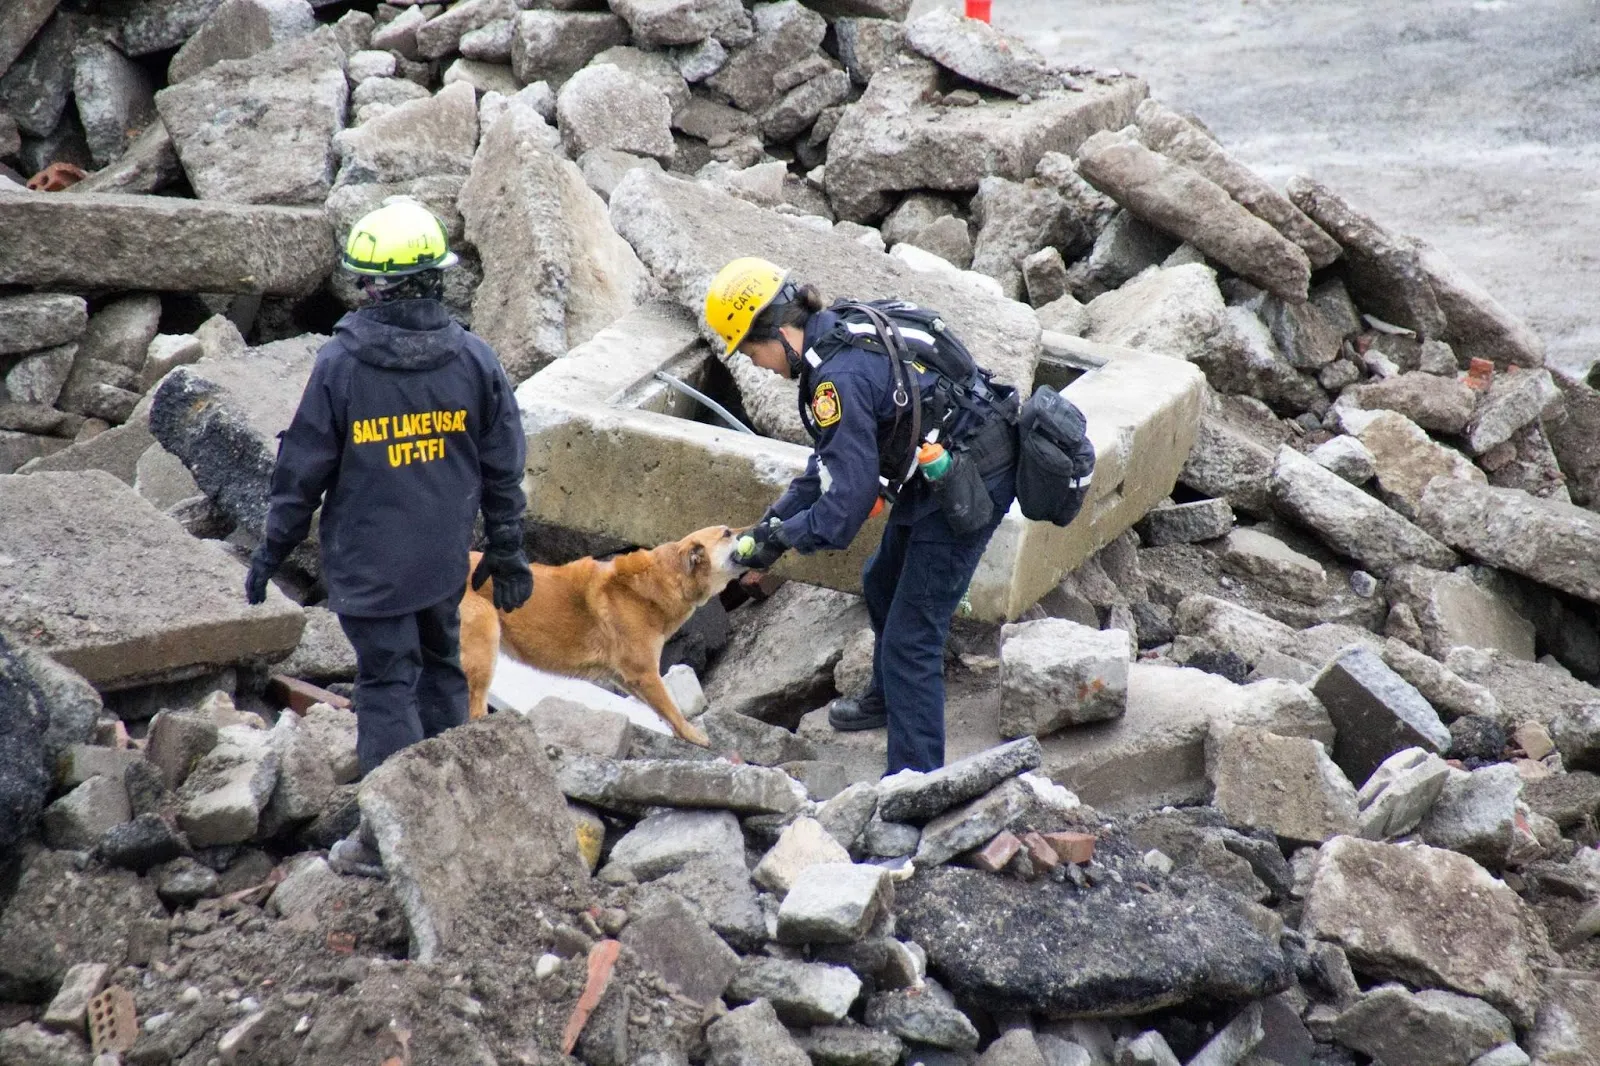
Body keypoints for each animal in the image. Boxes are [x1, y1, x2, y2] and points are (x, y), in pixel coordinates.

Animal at [457, 524, 742, 742]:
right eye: (727, 532)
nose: (752, 527)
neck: (661, 579)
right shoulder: (644, 674)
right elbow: (672, 709)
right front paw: (695, 736)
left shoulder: (625, 677)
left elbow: (661, 711)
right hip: (484, 641)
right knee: (475, 709)